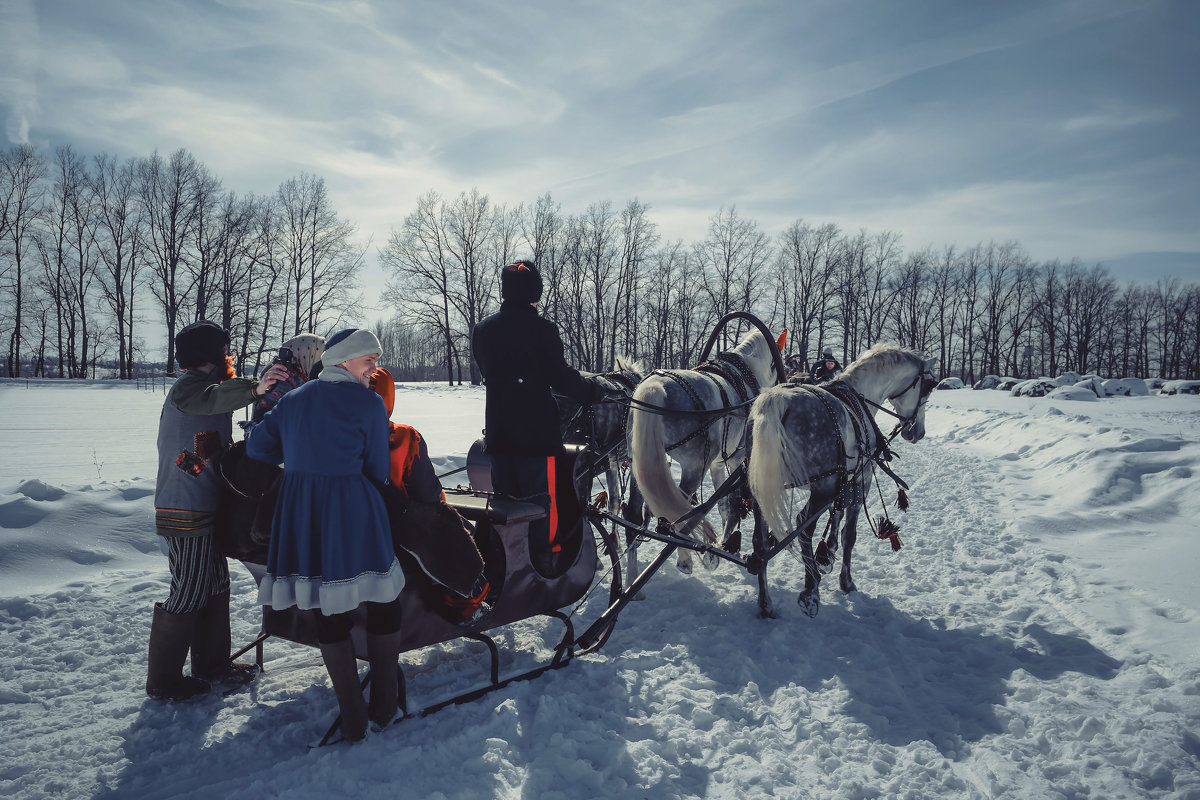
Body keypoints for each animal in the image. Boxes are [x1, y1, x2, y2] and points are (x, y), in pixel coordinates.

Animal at [628, 328, 777, 573]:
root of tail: (655, 387)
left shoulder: (717, 463)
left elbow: (726, 506)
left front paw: (723, 546)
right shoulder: (737, 459)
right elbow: (732, 503)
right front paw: (721, 548)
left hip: (637, 465)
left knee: (634, 515)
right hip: (694, 468)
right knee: (677, 517)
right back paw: (685, 559)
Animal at [748, 345, 936, 618]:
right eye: (929, 386)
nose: (917, 432)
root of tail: (777, 401)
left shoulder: (842, 482)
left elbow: (836, 517)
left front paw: (826, 554)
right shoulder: (860, 481)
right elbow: (850, 535)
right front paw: (845, 581)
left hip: (759, 489)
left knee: (761, 544)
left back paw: (766, 603)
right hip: (821, 489)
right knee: (803, 525)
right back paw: (810, 589)